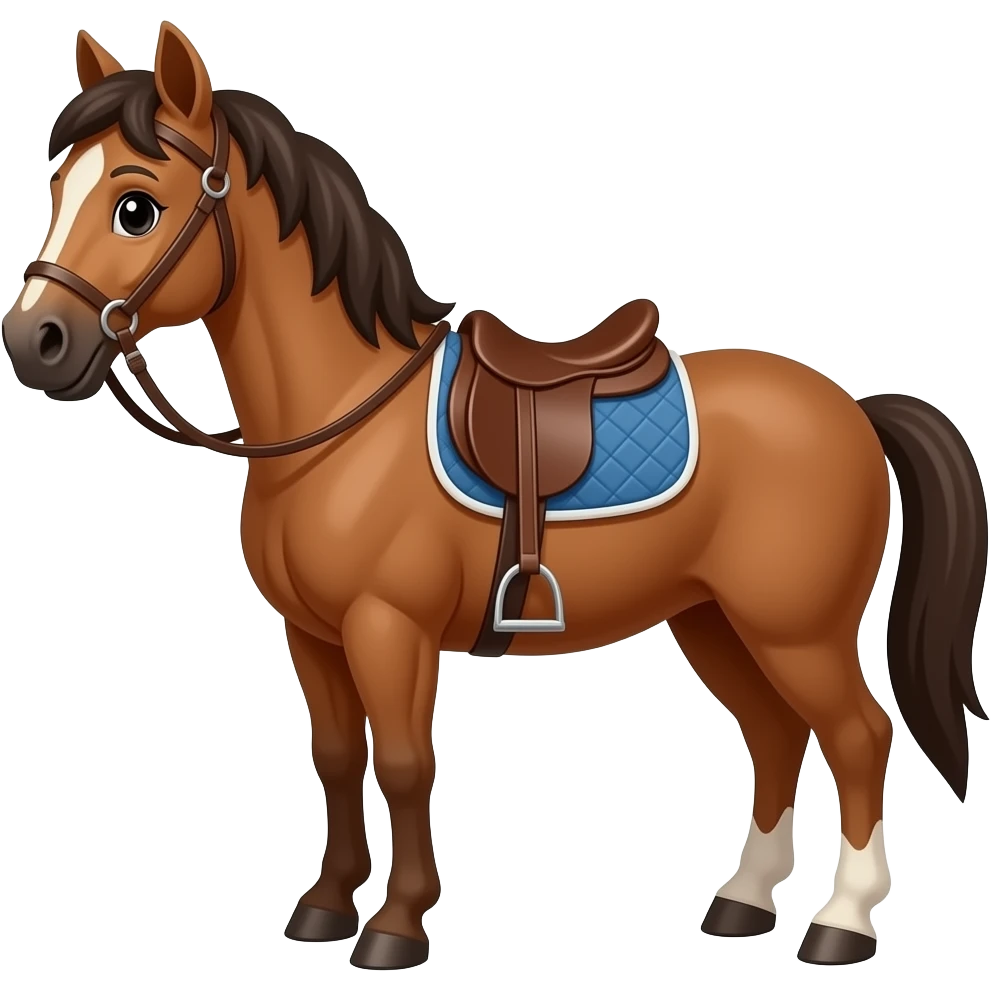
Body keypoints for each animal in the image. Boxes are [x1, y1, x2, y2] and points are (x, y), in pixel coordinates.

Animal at [2, 22, 986, 970]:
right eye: (57, 191)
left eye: (135, 204)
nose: (35, 341)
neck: (343, 418)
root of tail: (851, 408)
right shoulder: (311, 634)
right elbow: (335, 758)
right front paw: (324, 906)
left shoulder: (387, 627)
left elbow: (404, 762)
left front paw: (397, 924)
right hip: (714, 619)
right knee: (776, 733)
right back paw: (742, 902)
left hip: (795, 630)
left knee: (857, 735)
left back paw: (842, 923)